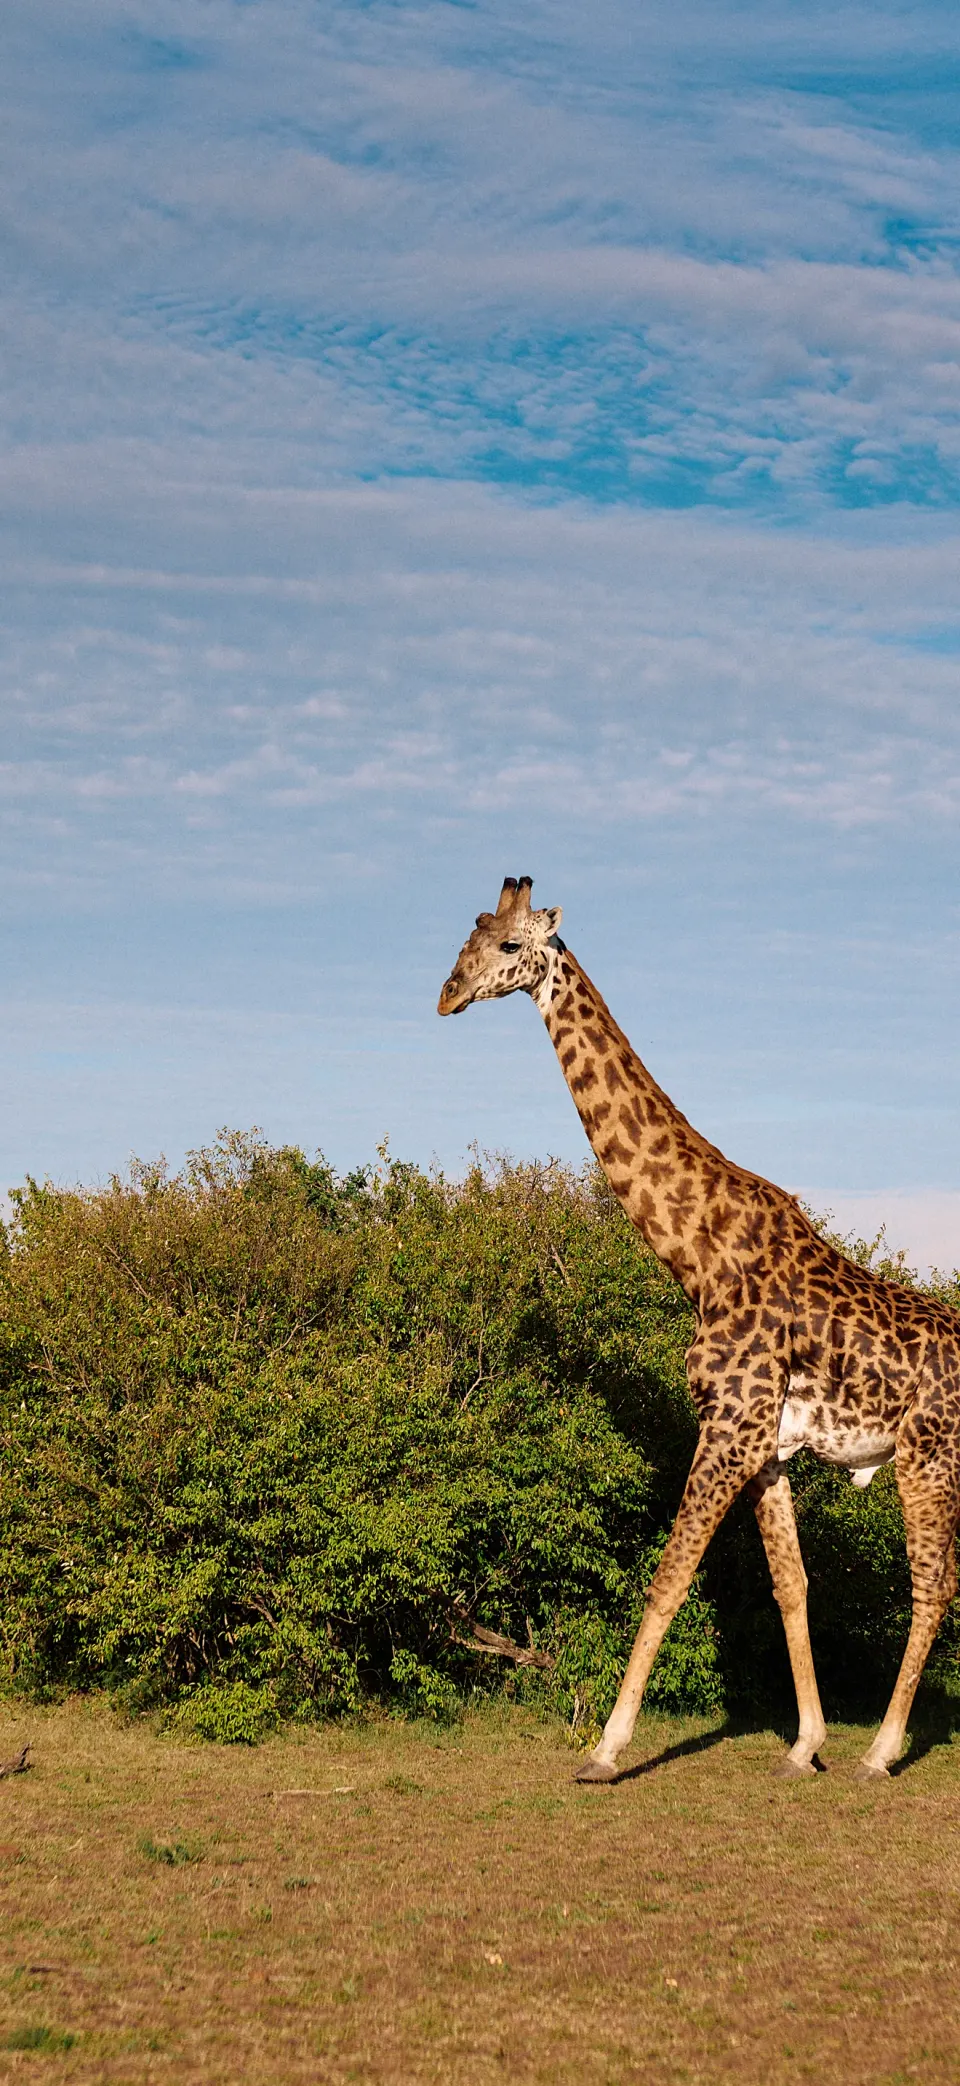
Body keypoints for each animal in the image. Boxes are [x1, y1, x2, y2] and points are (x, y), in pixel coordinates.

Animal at [438, 875, 960, 1783]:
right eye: (465, 937)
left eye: (508, 945)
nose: (446, 995)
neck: (698, 1254)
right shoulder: (764, 1445)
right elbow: (793, 1586)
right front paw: (805, 1745)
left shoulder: (727, 1428)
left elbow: (668, 1578)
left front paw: (605, 1750)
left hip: (928, 1456)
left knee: (932, 1585)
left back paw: (883, 1751)